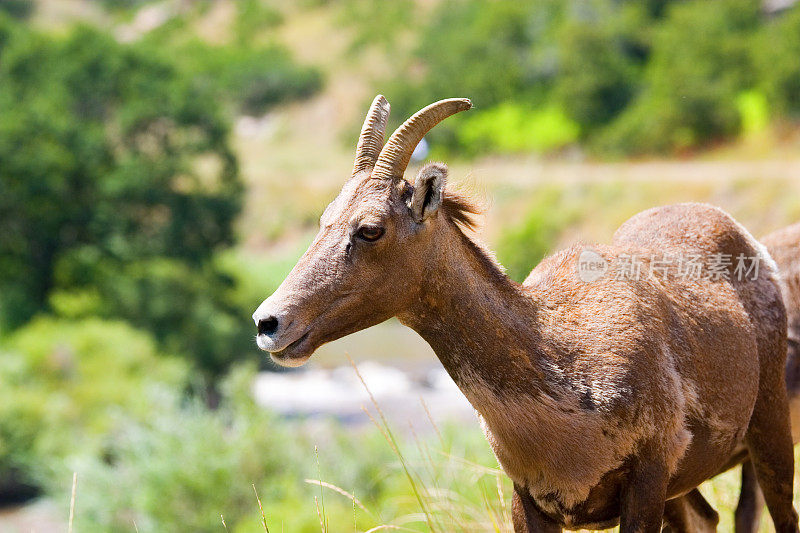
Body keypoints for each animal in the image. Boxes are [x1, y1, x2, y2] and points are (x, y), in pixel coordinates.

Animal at [253, 96, 796, 532]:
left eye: (370, 228)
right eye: (325, 218)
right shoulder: (530, 500)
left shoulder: (647, 478)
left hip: (769, 428)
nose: (268, 324)